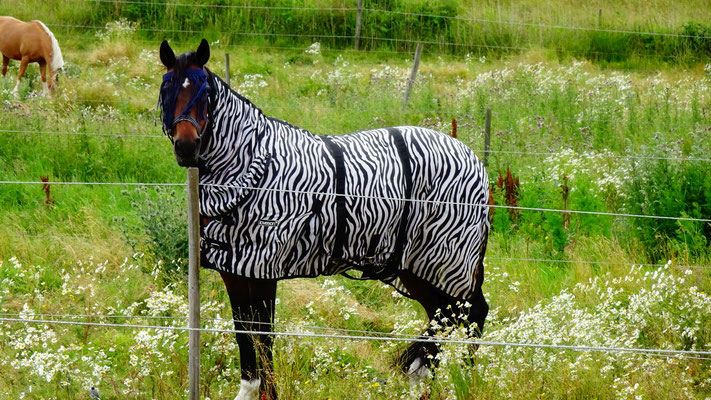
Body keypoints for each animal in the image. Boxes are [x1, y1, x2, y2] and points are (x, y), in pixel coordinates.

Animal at [157, 38, 490, 400]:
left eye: (204, 93)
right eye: (166, 88)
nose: (186, 147)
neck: (252, 165)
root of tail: (474, 160)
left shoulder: (261, 269)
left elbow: (263, 334)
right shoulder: (234, 268)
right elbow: (245, 333)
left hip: (447, 262)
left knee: (472, 313)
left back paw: (464, 381)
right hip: (414, 268)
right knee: (444, 315)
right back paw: (423, 377)